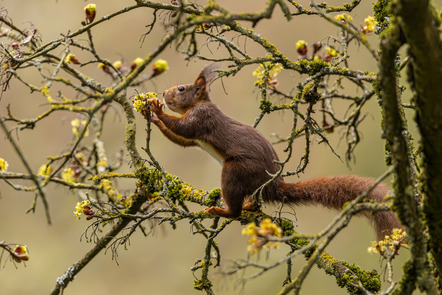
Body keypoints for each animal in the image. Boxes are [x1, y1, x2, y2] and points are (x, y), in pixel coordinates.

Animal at [147, 63, 402, 240]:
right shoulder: (196, 138)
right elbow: (182, 140)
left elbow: (183, 129)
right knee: (254, 203)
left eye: (181, 88)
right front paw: (149, 115)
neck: (197, 104)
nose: (163, 94)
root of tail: (272, 185)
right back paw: (250, 206)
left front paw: (156, 110)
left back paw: (224, 210)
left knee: (235, 208)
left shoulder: (202, 119)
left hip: (236, 169)